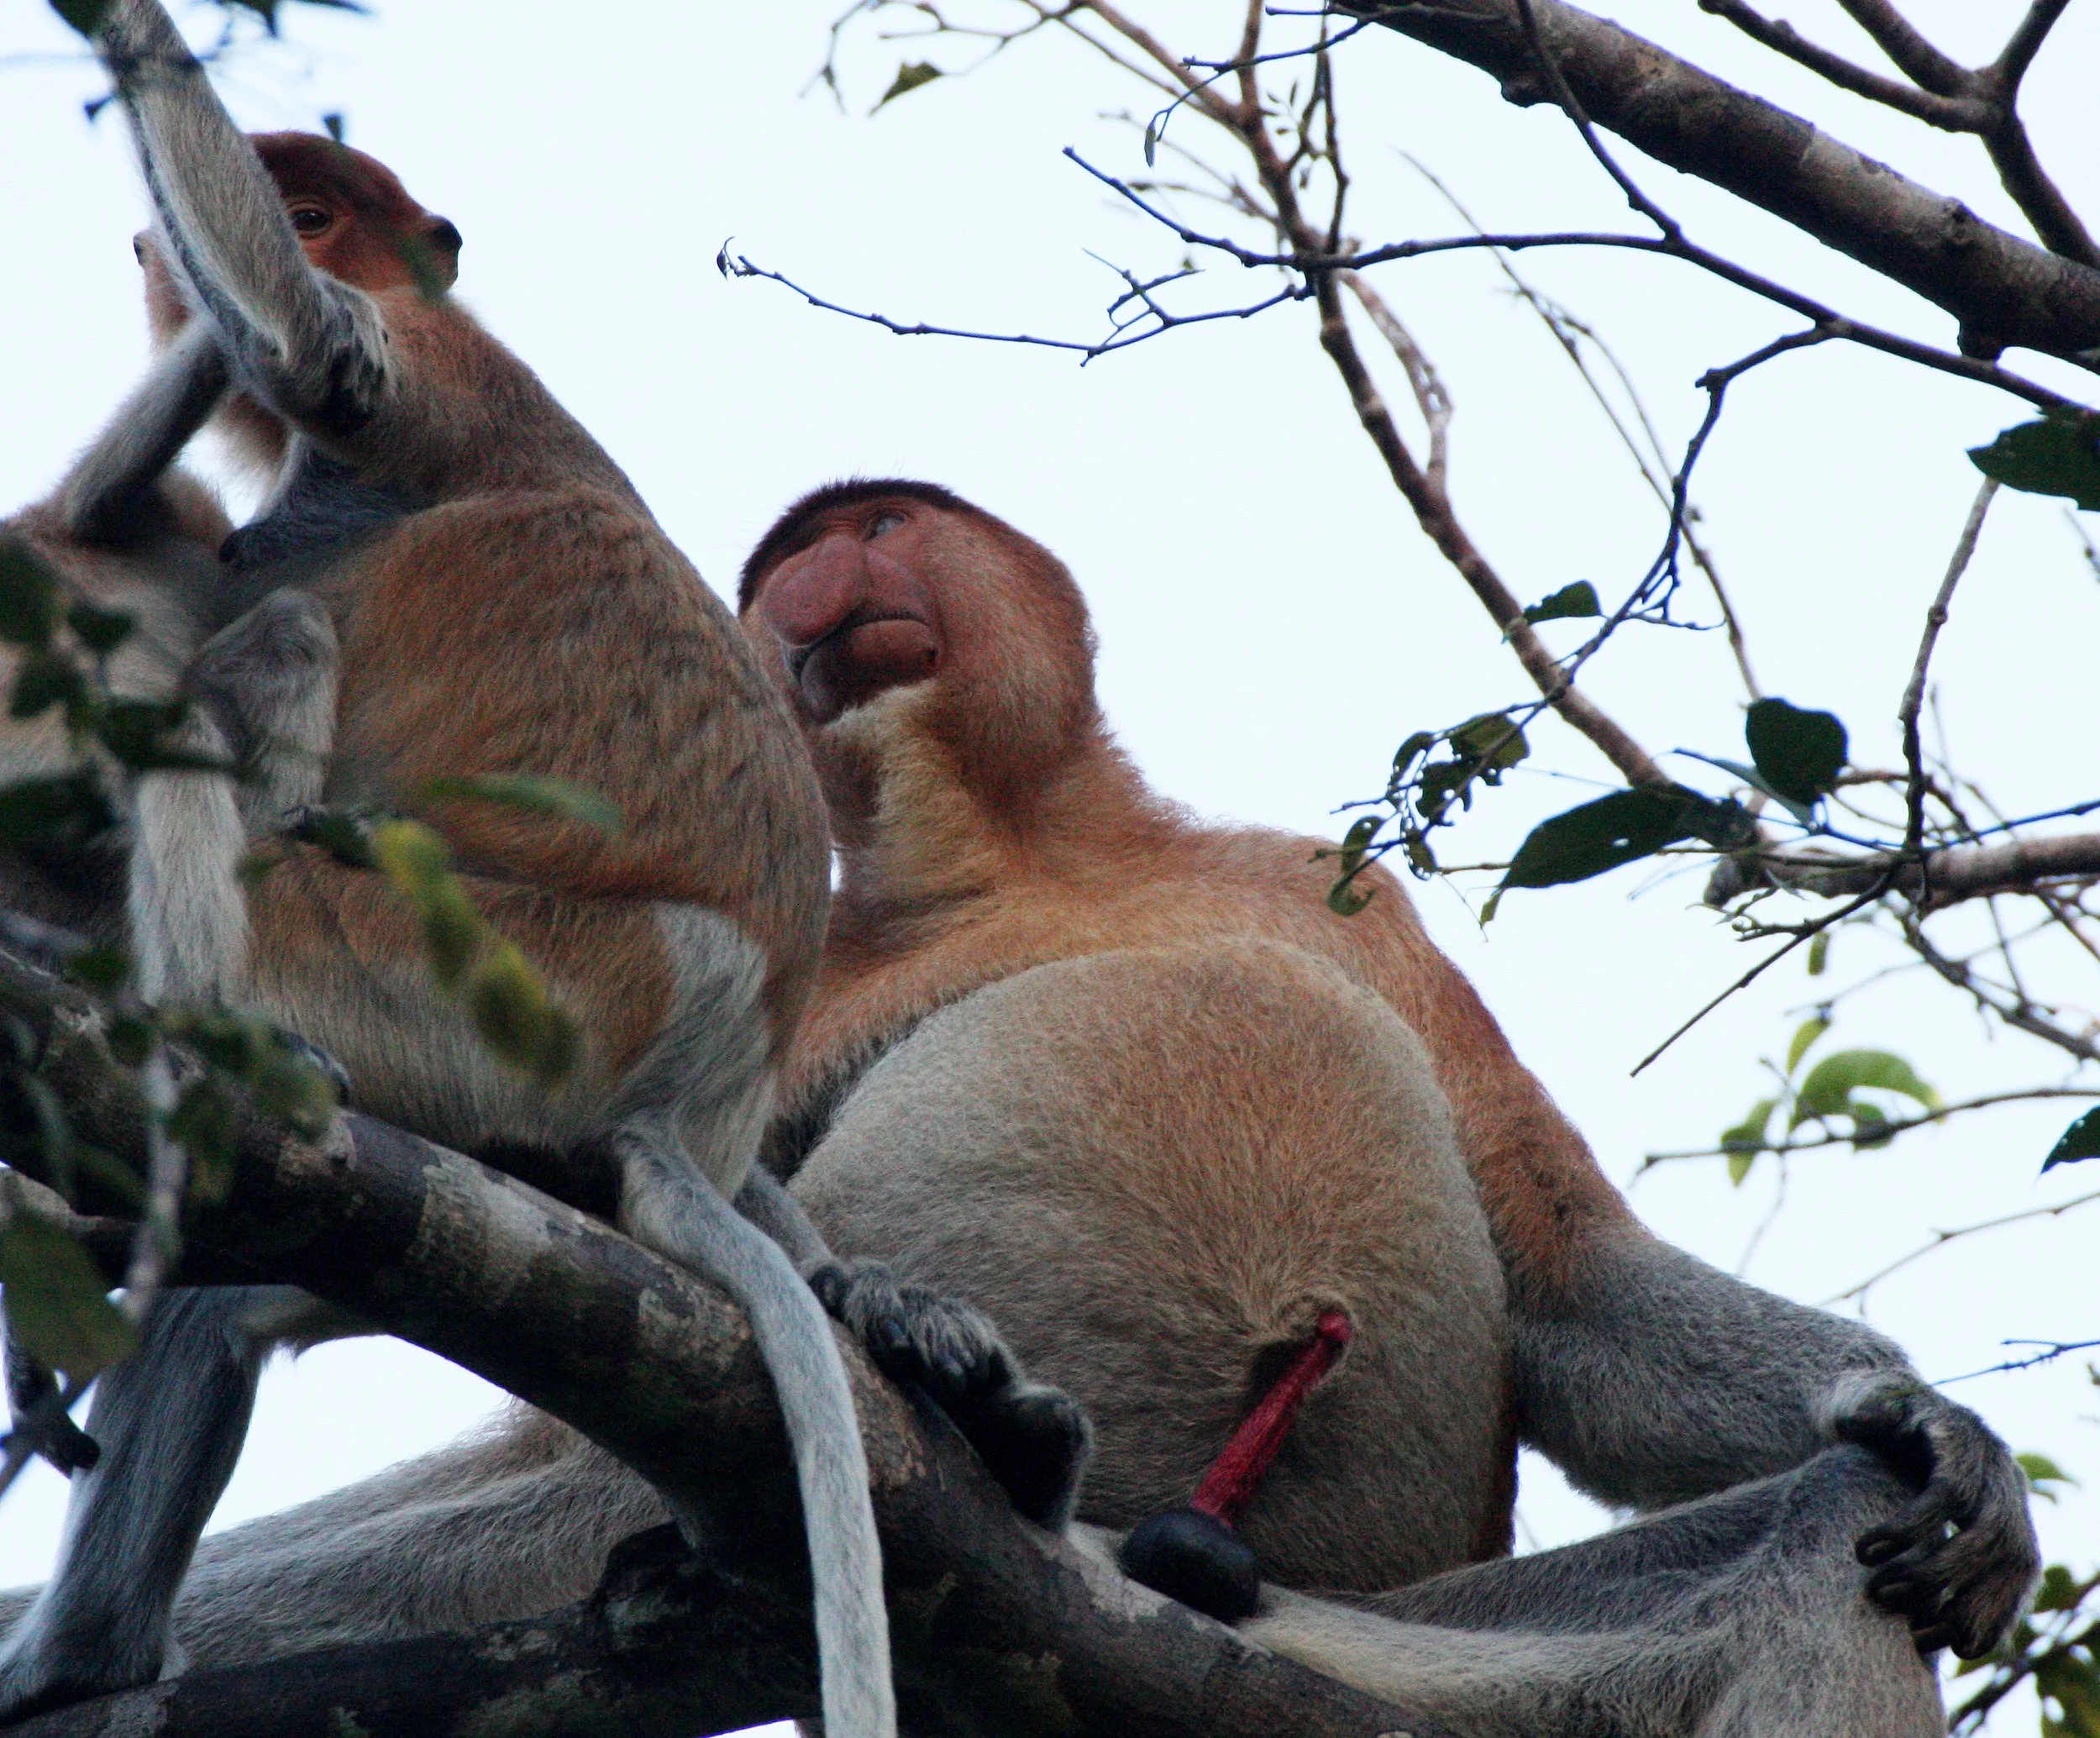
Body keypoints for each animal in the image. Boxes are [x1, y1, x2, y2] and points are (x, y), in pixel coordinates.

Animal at [0, 13, 1088, 1730]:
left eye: (321, 215)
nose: (353, 237)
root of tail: (689, 1072)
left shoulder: (433, 375)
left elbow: (320, 354)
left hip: (468, 972)